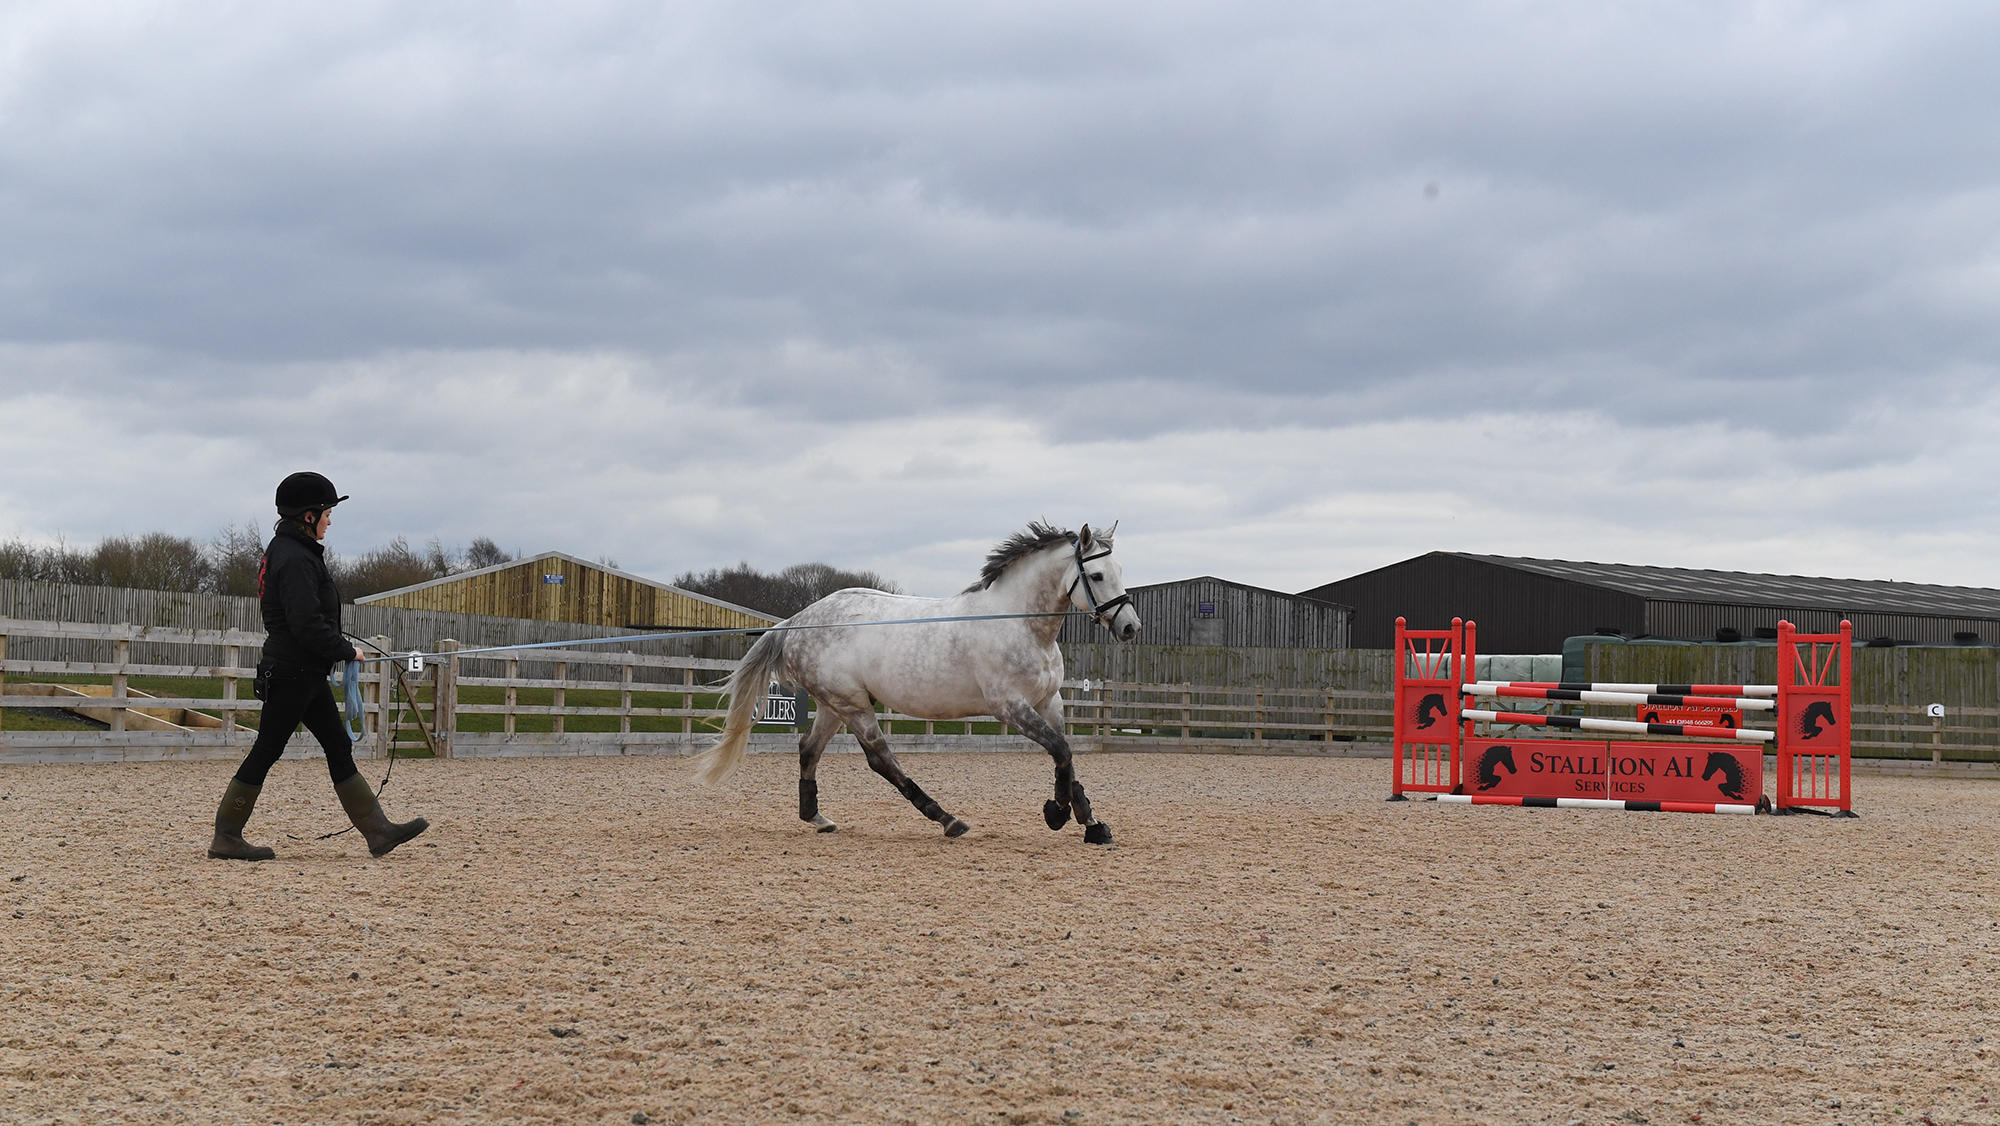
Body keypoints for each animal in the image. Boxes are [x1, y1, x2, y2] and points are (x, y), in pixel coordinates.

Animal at [694, 522, 1142, 844]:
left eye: (1121, 571)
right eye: (1096, 574)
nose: (1130, 628)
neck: (1019, 625)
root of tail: (796, 622)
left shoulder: (1050, 701)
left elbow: (1067, 757)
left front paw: (1092, 824)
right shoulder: (1009, 705)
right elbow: (1060, 750)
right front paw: (1058, 813)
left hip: (833, 705)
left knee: (809, 748)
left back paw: (817, 818)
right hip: (853, 705)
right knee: (881, 759)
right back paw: (946, 819)